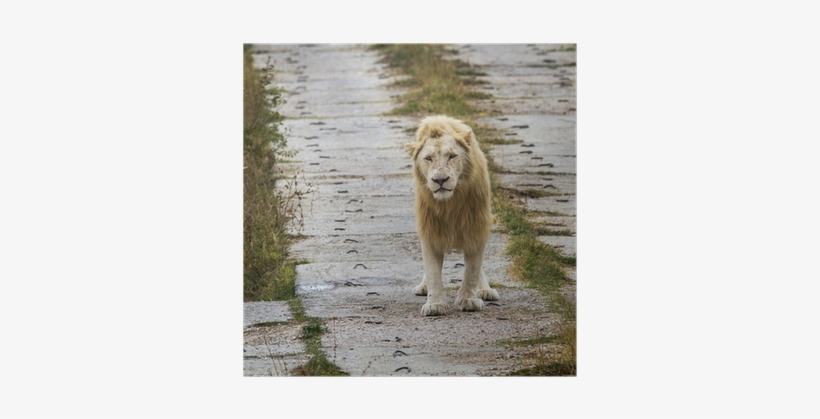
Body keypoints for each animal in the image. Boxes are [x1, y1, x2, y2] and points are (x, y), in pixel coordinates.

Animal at [404, 115, 499, 316]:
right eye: (428, 158)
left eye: (452, 156)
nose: (440, 180)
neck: (450, 203)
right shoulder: (430, 228)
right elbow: (432, 270)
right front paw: (435, 304)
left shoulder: (476, 225)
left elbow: (472, 269)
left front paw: (469, 300)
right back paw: (423, 287)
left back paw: (485, 290)